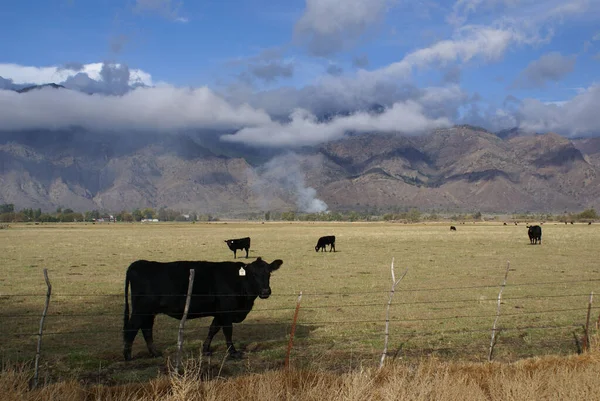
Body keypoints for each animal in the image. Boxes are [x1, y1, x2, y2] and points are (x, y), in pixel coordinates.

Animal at [122, 256, 284, 360]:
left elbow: (213, 329)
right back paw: (127, 356)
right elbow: (228, 331)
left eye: (269, 273)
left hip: (149, 311)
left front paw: (206, 350)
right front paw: (233, 352)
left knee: (146, 329)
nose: (265, 291)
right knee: (132, 327)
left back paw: (154, 353)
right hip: (141, 309)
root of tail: (138, 264)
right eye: (253, 274)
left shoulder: (219, 313)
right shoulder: (226, 311)